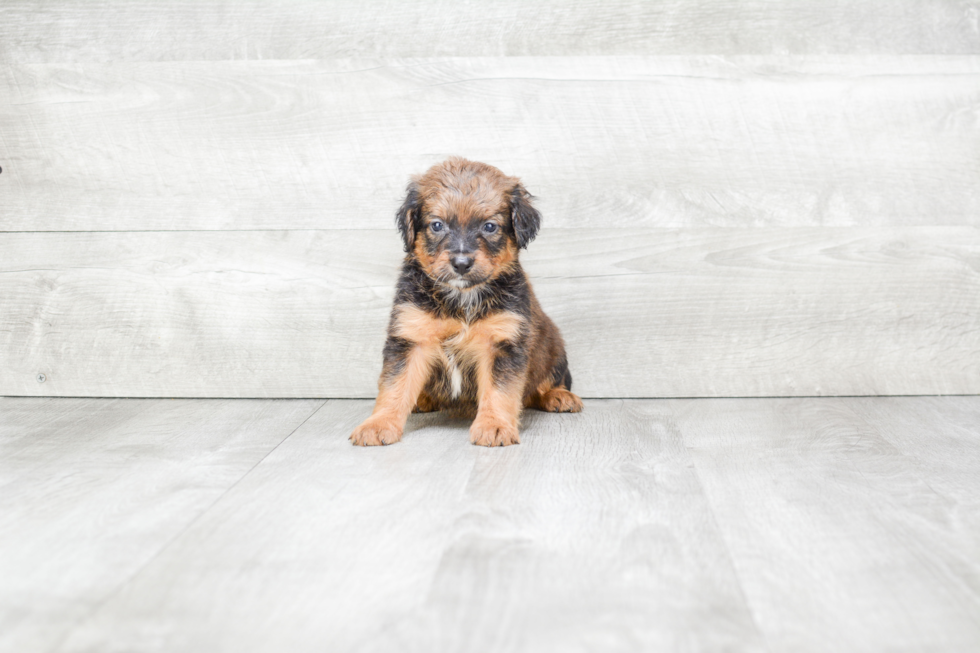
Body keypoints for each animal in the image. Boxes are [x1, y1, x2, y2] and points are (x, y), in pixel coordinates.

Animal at [352, 155, 580, 446]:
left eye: (489, 226)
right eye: (437, 225)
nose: (461, 263)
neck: (460, 299)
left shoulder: (502, 343)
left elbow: (500, 392)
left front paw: (494, 426)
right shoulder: (410, 337)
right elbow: (395, 386)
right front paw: (378, 424)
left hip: (556, 350)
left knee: (548, 382)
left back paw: (559, 396)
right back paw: (421, 400)